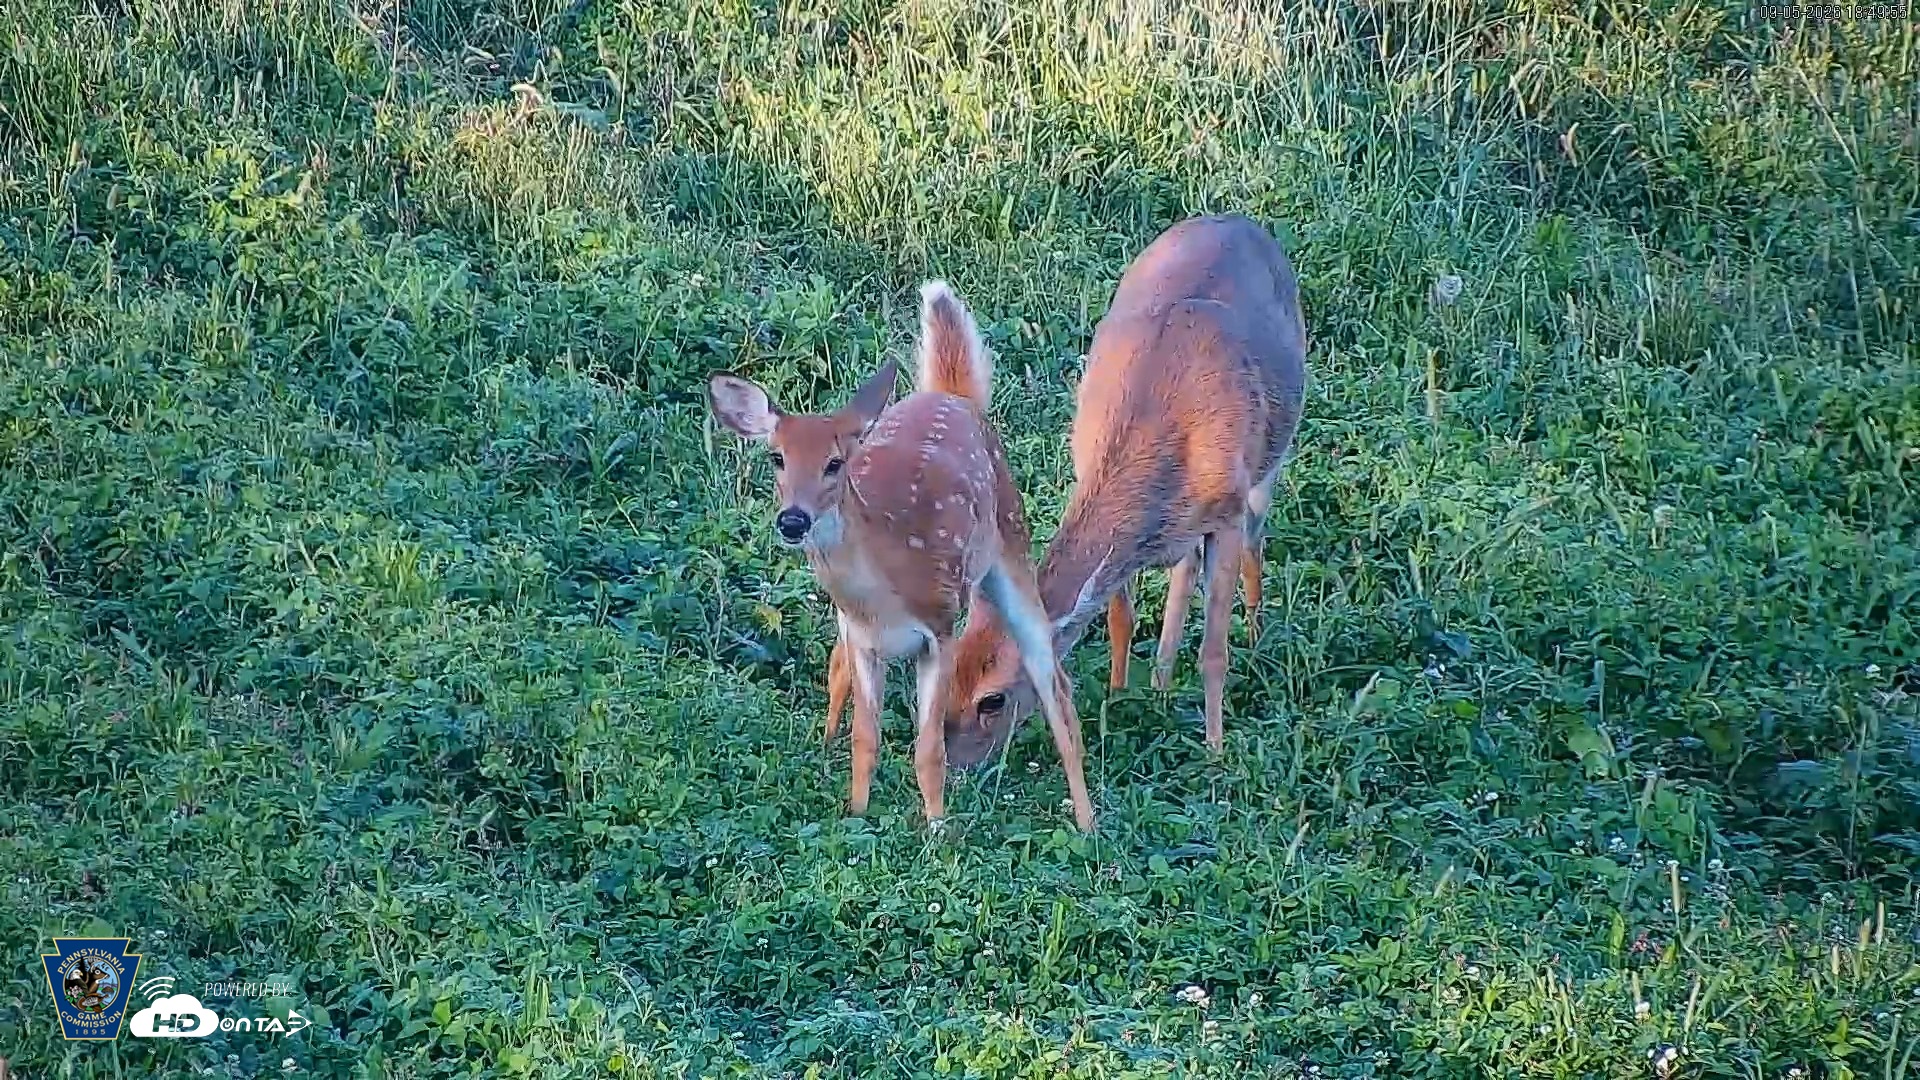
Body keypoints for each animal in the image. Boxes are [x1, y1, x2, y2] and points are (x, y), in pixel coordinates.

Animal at [707, 281, 1096, 832]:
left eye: (835, 464)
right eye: (776, 457)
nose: (793, 521)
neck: (883, 594)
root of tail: (953, 396)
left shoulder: (940, 629)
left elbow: (929, 748)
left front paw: (938, 832)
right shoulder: (862, 639)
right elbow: (865, 738)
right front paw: (856, 814)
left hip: (1013, 542)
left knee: (1054, 685)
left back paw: (1088, 823)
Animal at [939, 214, 1308, 769]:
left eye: (993, 698)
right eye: (949, 677)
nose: (952, 765)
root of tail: (1237, 220)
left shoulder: (1225, 512)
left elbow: (1214, 651)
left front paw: (1216, 752)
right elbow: (1120, 617)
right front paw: (1117, 701)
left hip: (1270, 463)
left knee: (1254, 544)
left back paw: (1256, 636)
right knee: (1183, 568)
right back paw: (1160, 682)